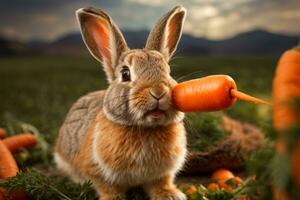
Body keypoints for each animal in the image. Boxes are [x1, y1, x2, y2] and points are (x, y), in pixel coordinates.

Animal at [54, 4, 188, 200]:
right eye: (125, 74)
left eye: (168, 72)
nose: (158, 92)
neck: (145, 129)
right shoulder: (98, 173)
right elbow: (108, 188)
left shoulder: (162, 174)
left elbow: (161, 183)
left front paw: (171, 195)